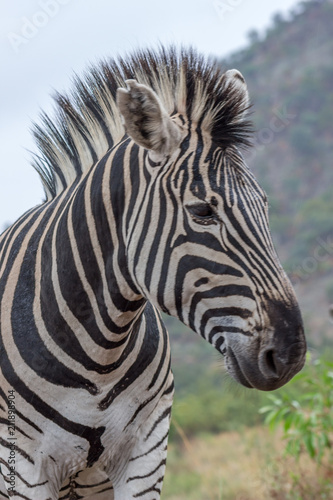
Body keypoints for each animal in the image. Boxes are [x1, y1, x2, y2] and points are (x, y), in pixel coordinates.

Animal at [0, 47, 306, 500]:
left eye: (264, 205)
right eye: (202, 211)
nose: (290, 353)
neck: (99, 356)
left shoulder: (146, 453)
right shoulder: (21, 467)